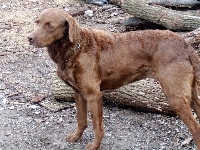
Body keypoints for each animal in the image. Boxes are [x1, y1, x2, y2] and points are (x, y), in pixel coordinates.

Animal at [27, 8, 200, 150]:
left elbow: (97, 126)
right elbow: (81, 120)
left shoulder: (94, 95)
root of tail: (186, 44)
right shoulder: (78, 93)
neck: (76, 48)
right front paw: (76, 137)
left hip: (175, 96)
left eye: (49, 25)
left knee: (195, 128)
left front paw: (94, 146)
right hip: (190, 94)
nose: (29, 38)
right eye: (37, 22)